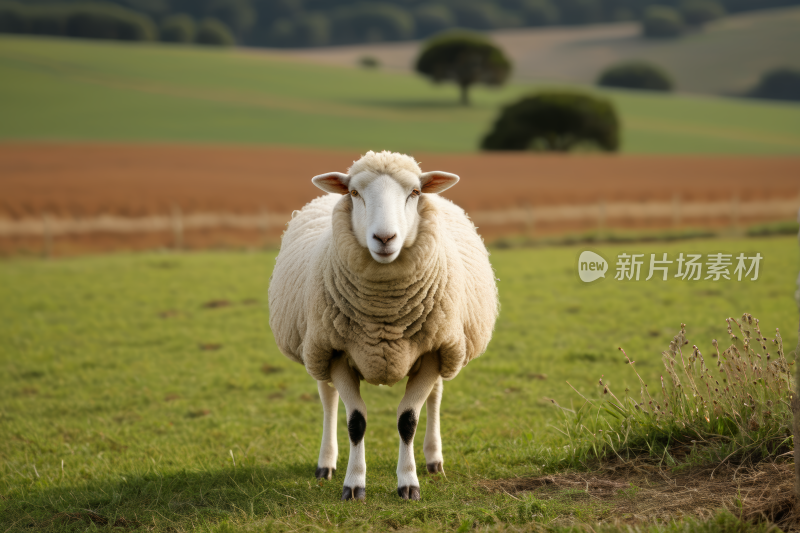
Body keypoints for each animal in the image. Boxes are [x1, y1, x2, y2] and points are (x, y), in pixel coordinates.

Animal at [272, 152, 496, 500]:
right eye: (354, 193)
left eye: (415, 192)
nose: (385, 238)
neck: (384, 314)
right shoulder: (336, 351)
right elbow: (356, 422)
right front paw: (354, 484)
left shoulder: (434, 351)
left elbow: (408, 420)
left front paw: (408, 483)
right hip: (315, 347)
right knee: (328, 399)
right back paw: (326, 464)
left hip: (446, 347)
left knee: (435, 396)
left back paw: (434, 460)